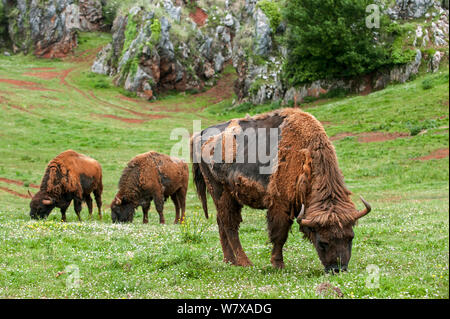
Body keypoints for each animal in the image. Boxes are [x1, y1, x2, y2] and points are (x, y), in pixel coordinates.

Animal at [192, 109, 370, 274]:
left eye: (350, 238)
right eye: (323, 242)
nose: (338, 269)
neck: (304, 152)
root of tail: (200, 135)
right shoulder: (280, 205)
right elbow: (279, 235)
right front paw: (278, 264)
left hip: (228, 197)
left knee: (221, 222)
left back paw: (230, 261)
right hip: (220, 191)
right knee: (230, 225)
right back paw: (245, 262)